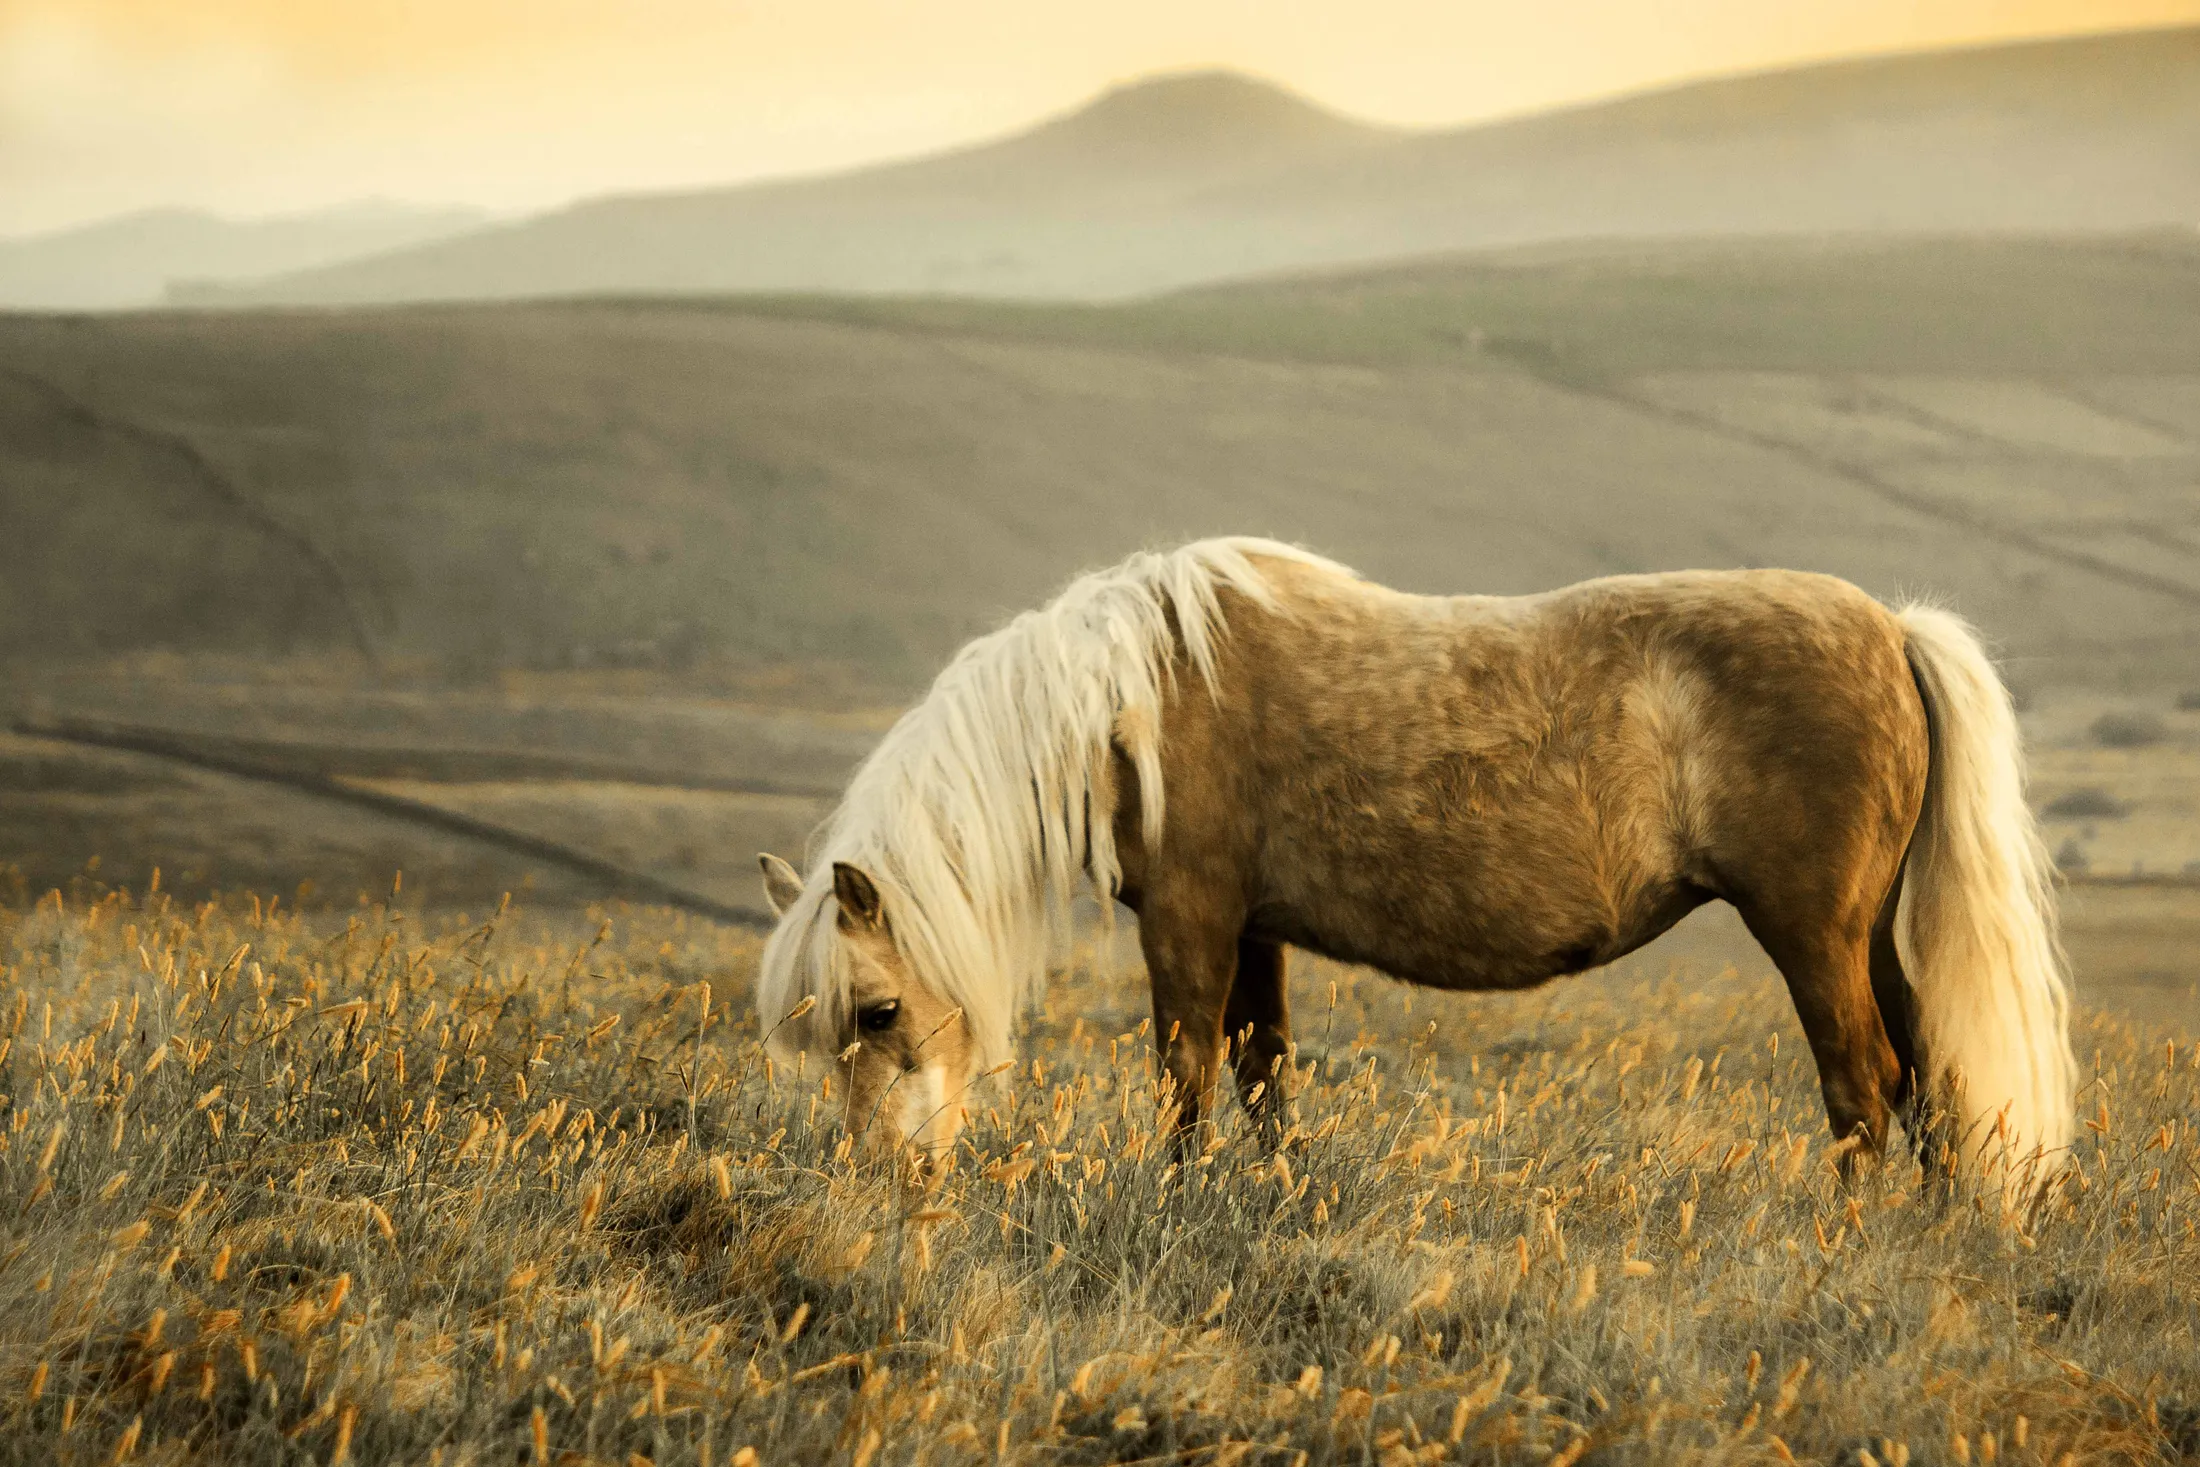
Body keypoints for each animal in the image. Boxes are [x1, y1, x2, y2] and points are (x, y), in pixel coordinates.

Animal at [755, 538, 2073, 1188]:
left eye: (878, 1011)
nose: (883, 1183)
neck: (1132, 697)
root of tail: (1890, 630)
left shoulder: (1187, 916)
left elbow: (1185, 1080)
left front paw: (1170, 1208)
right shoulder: (1254, 928)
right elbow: (1263, 1078)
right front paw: (1263, 1209)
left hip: (1809, 936)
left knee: (1862, 1088)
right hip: (1871, 938)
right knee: (1930, 1083)